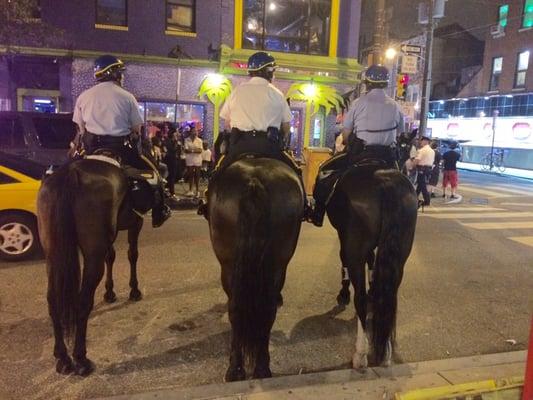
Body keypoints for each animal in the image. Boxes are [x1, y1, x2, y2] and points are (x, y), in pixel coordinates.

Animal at [36, 159, 145, 376]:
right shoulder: (135, 222)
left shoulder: (110, 237)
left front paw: (110, 292)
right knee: (83, 301)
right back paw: (81, 359)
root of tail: (70, 173)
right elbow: (132, 254)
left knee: (53, 300)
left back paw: (62, 357)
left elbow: (111, 256)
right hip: (93, 255)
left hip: (53, 254)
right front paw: (134, 290)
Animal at [205, 156, 302, 382]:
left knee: (238, 309)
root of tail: (254, 181)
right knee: (263, 309)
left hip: (229, 264)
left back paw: (239, 368)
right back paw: (259, 368)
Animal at [326, 165, 418, 368]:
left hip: (355, 249)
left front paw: (343, 293)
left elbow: (344, 260)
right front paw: (373, 290)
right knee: (390, 294)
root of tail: (384, 179)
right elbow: (372, 262)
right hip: (401, 254)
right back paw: (386, 351)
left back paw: (360, 354)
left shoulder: (345, 238)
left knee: (359, 297)